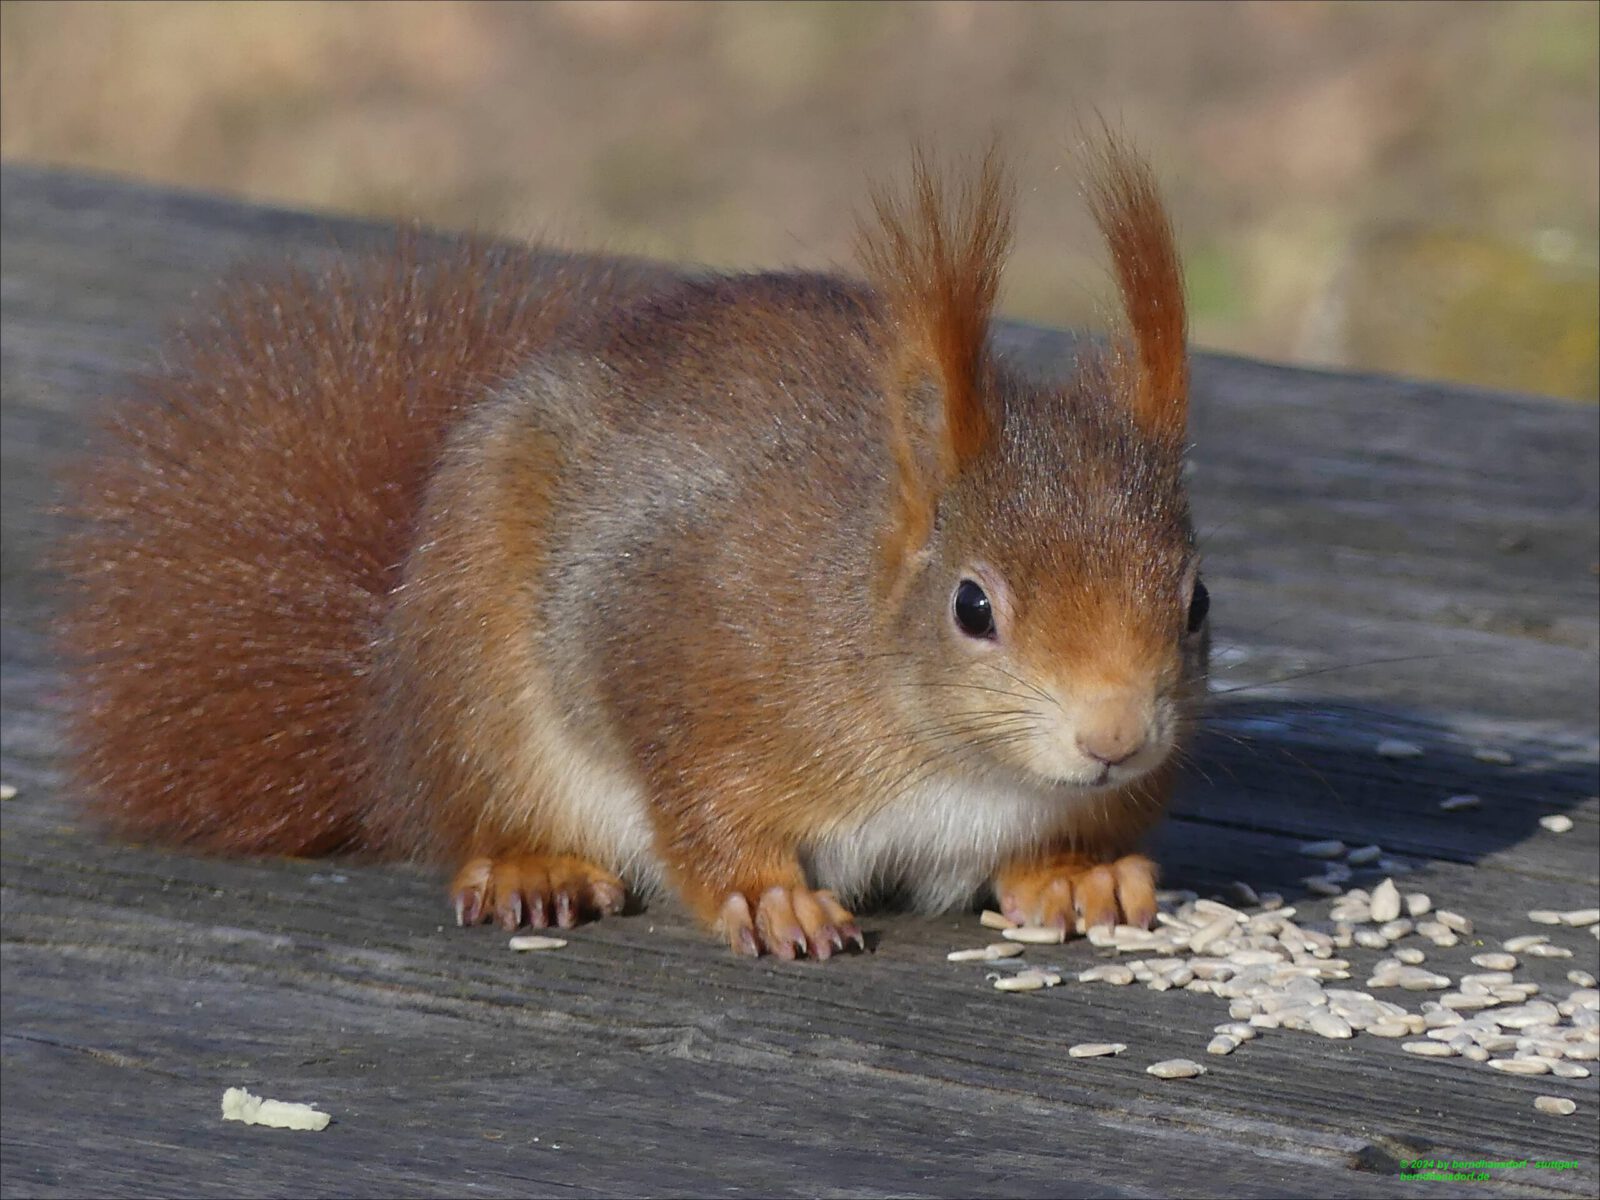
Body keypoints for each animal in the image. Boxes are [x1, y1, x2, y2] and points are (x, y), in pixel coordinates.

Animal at [65, 140, 1209, 966]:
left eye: (1196, 602)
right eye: (973, 608)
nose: (1114, 737)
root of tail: (384, 701)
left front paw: (1077, 875)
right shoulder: (691, 662)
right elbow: (698, 805)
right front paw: (768, 896)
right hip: (479, 697)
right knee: (479, 809)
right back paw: (530, 868)